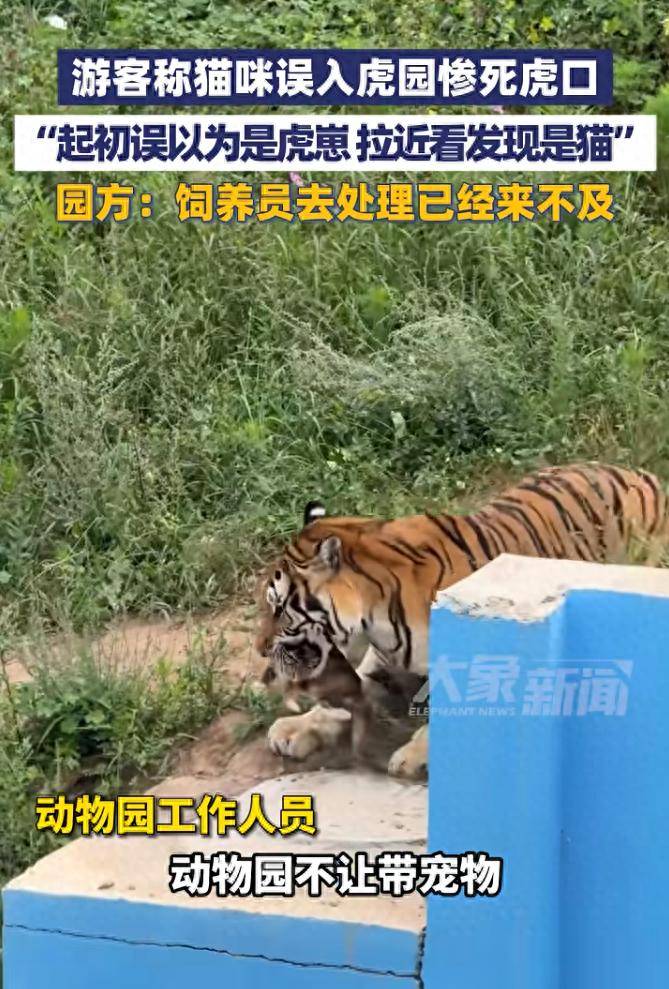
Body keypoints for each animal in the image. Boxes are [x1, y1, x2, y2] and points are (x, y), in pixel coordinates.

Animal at [256, 463, 668, 779]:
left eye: (280, 608)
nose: (260, 649)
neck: (374, 613)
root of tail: (643, 474)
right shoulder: (384, 657)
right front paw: (295, 728)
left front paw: (411, 757)